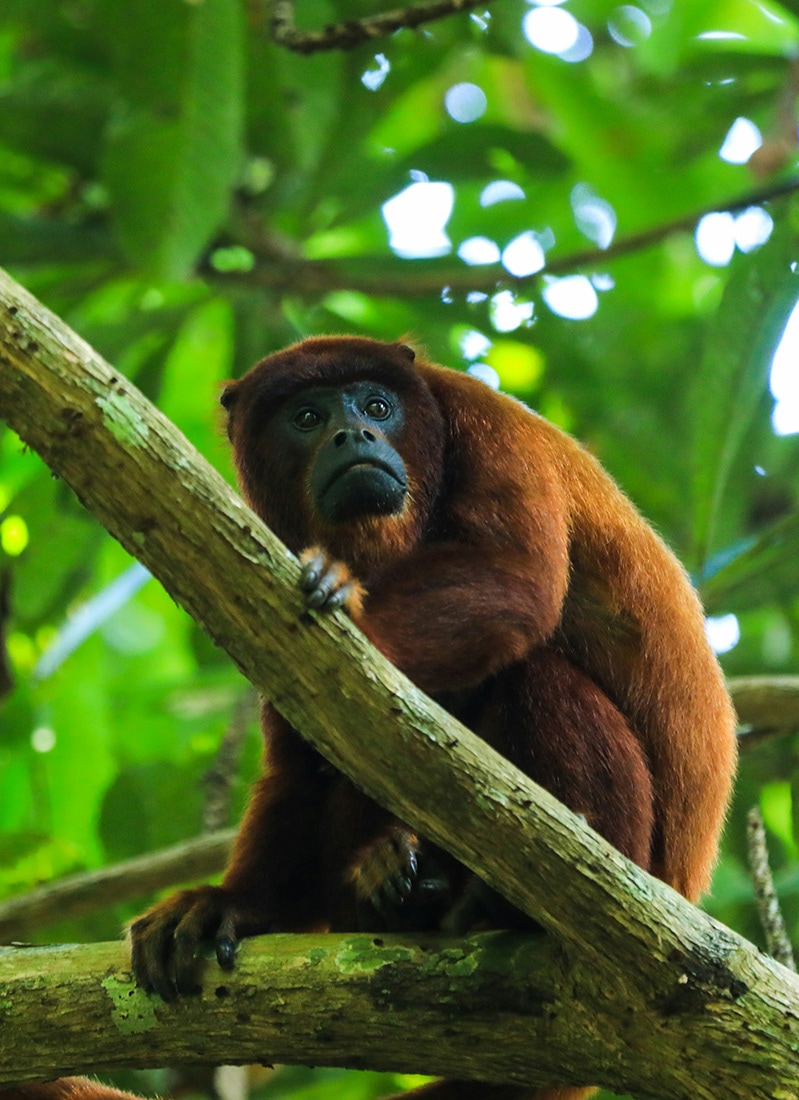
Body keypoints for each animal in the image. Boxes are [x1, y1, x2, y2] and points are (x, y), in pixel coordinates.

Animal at [4, 337, 736, 1100]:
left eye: (377, 406)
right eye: (306, 416)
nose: (352, 433)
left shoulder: (488, 426)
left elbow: (515, 578)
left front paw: (350, 602)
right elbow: (299, 764)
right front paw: (231, 905)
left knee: (536, 675)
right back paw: (394, 888)